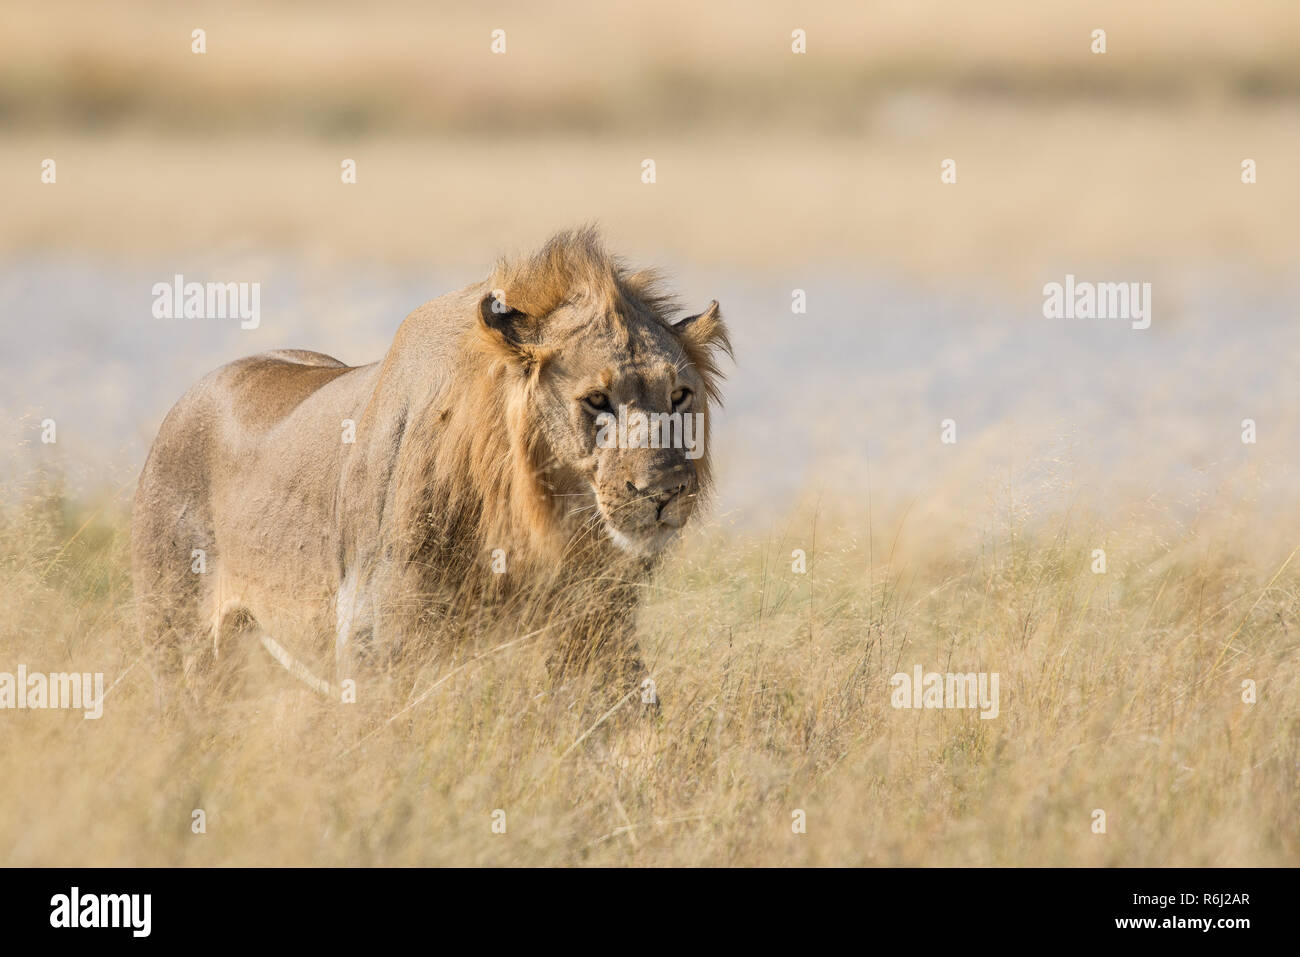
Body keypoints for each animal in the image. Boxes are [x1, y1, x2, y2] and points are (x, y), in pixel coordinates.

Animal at [131, 227, 731, 701]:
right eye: (597, 400)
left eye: (679, 396)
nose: (665, 491)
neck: (534, 523)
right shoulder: (375, 639)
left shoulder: (600, 630)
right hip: (176, 642)